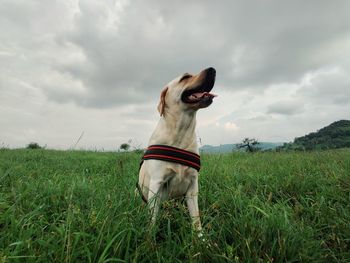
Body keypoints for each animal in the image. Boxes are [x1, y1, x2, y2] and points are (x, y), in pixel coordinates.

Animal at [137, 66, 216, 235]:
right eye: (185, 77)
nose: (212, 69)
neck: (180, 131)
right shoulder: (157, 182)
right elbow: (152, 219)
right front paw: (149, 238)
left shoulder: (193, 185)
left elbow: (196, 218)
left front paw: (201, 238)